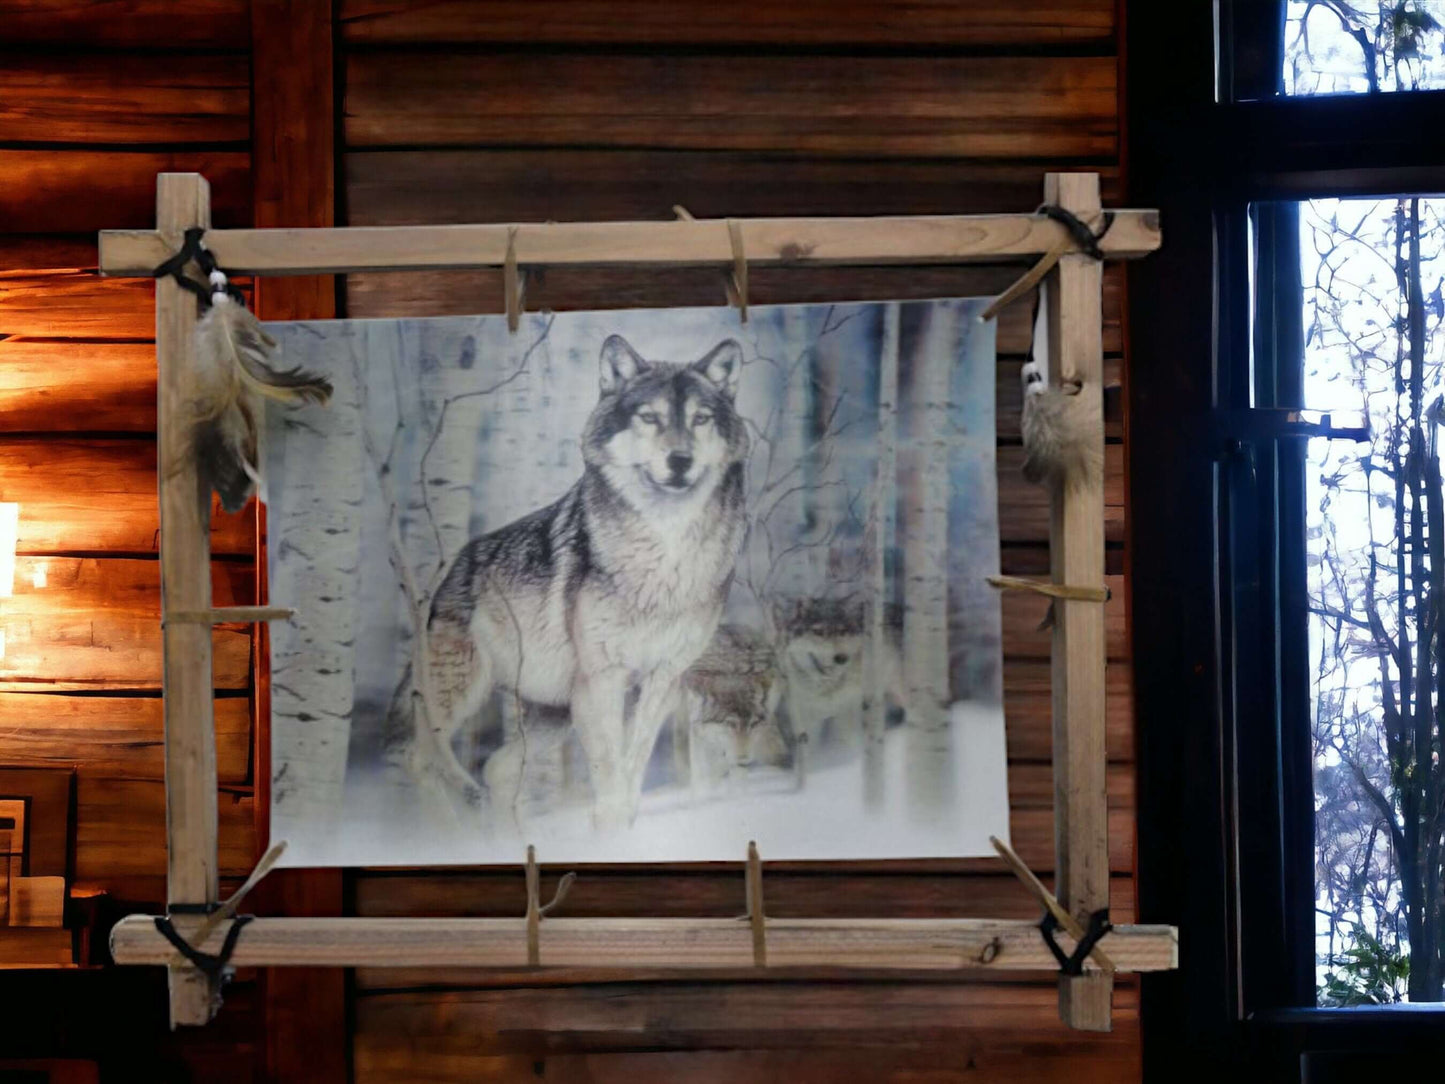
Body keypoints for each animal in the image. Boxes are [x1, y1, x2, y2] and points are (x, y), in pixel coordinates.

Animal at [407, 335, 745, 826]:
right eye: (649, 417)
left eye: (700, 418)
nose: (679, 460)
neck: (664, 554)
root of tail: (454, 567)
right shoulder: (601, 678)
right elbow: (608, 769)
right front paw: (611, 825)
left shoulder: (663, 677)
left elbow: (632, 763)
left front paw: (623, 823)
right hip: (462, 696)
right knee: (420, 760)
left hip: (552, 712)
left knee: (497, 768)